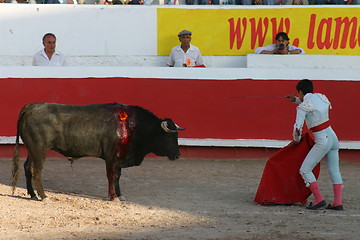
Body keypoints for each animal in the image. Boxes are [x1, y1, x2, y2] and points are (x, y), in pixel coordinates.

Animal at [12, 102, 184, 201]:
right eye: (169, 137)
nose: (177, 155)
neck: (132, 126)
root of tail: (30, 108)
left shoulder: (119, 158)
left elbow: (118, 176)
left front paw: (120, 195)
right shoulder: (111, 157)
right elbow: (111, 176)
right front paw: (113, 196)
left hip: (32, 149)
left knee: (27, 167)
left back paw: (32, 194)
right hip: (39, 150)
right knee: (36, 171)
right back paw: (43, 196)